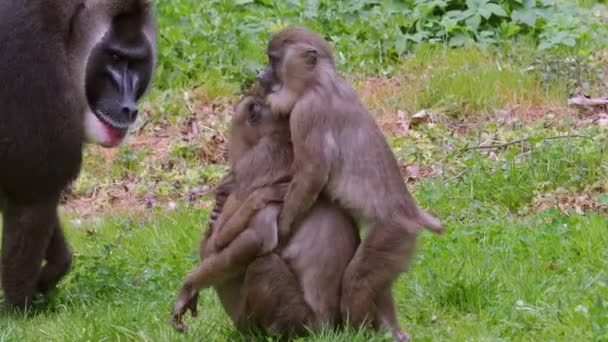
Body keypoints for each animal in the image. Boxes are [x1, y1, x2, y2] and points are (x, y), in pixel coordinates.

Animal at [0, 0, 157, 310]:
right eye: (114, 57)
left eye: (134, 63)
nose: (128, 108)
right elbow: (31, 201)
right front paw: (18, 309)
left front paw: (53, 270)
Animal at [252, 27, 442, 332]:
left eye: (274, 60)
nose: (261, 75)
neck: (321, 81)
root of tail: (410, 212)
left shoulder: (307, 112)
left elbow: (312, 174)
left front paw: (282, 230)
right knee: (379, 283)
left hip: (392, 233)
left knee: (358, 281)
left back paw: (358, 330)